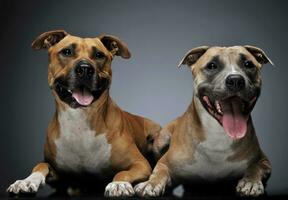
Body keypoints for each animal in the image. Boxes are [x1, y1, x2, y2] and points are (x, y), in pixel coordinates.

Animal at [6, 30, 161, 198]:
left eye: (99, 55)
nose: (85, 69)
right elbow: (41, 165)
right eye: (67, 52)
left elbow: (122, 172)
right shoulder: (59, 172)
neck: (80, 120)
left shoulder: (140, 163)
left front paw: (119, 184)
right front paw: (26, 181)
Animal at [135, 45, 272, 197]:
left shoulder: (263, 160)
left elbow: (255, 168)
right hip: (161, 141)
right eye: (212, 66)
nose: (236, 80)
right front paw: (151, 184)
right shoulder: (165, 162)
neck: (218, 135)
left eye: (248, 64)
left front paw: (250, 182)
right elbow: (159, 171)